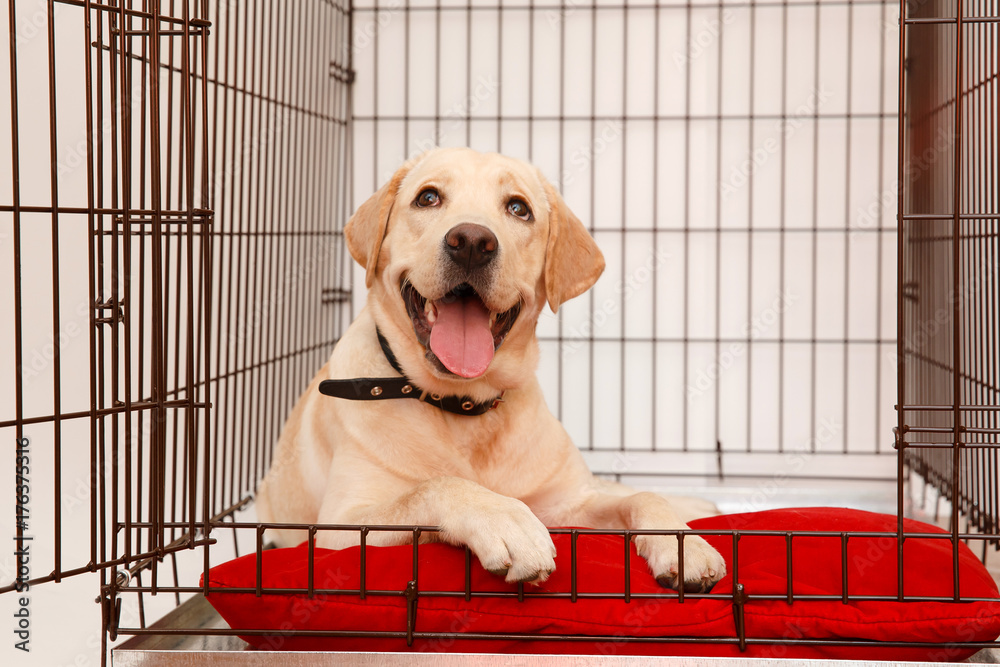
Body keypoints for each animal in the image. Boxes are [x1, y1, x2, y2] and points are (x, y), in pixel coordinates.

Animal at [258, 149, 728, 592]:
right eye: (428, 197)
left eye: (519, 208)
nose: (470, 241)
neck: (465, 406)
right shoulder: (338, 526)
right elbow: (437, 485)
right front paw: (506, 519)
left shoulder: (567, 506)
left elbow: (643, 497)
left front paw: (685, 543)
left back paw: (697, 506)